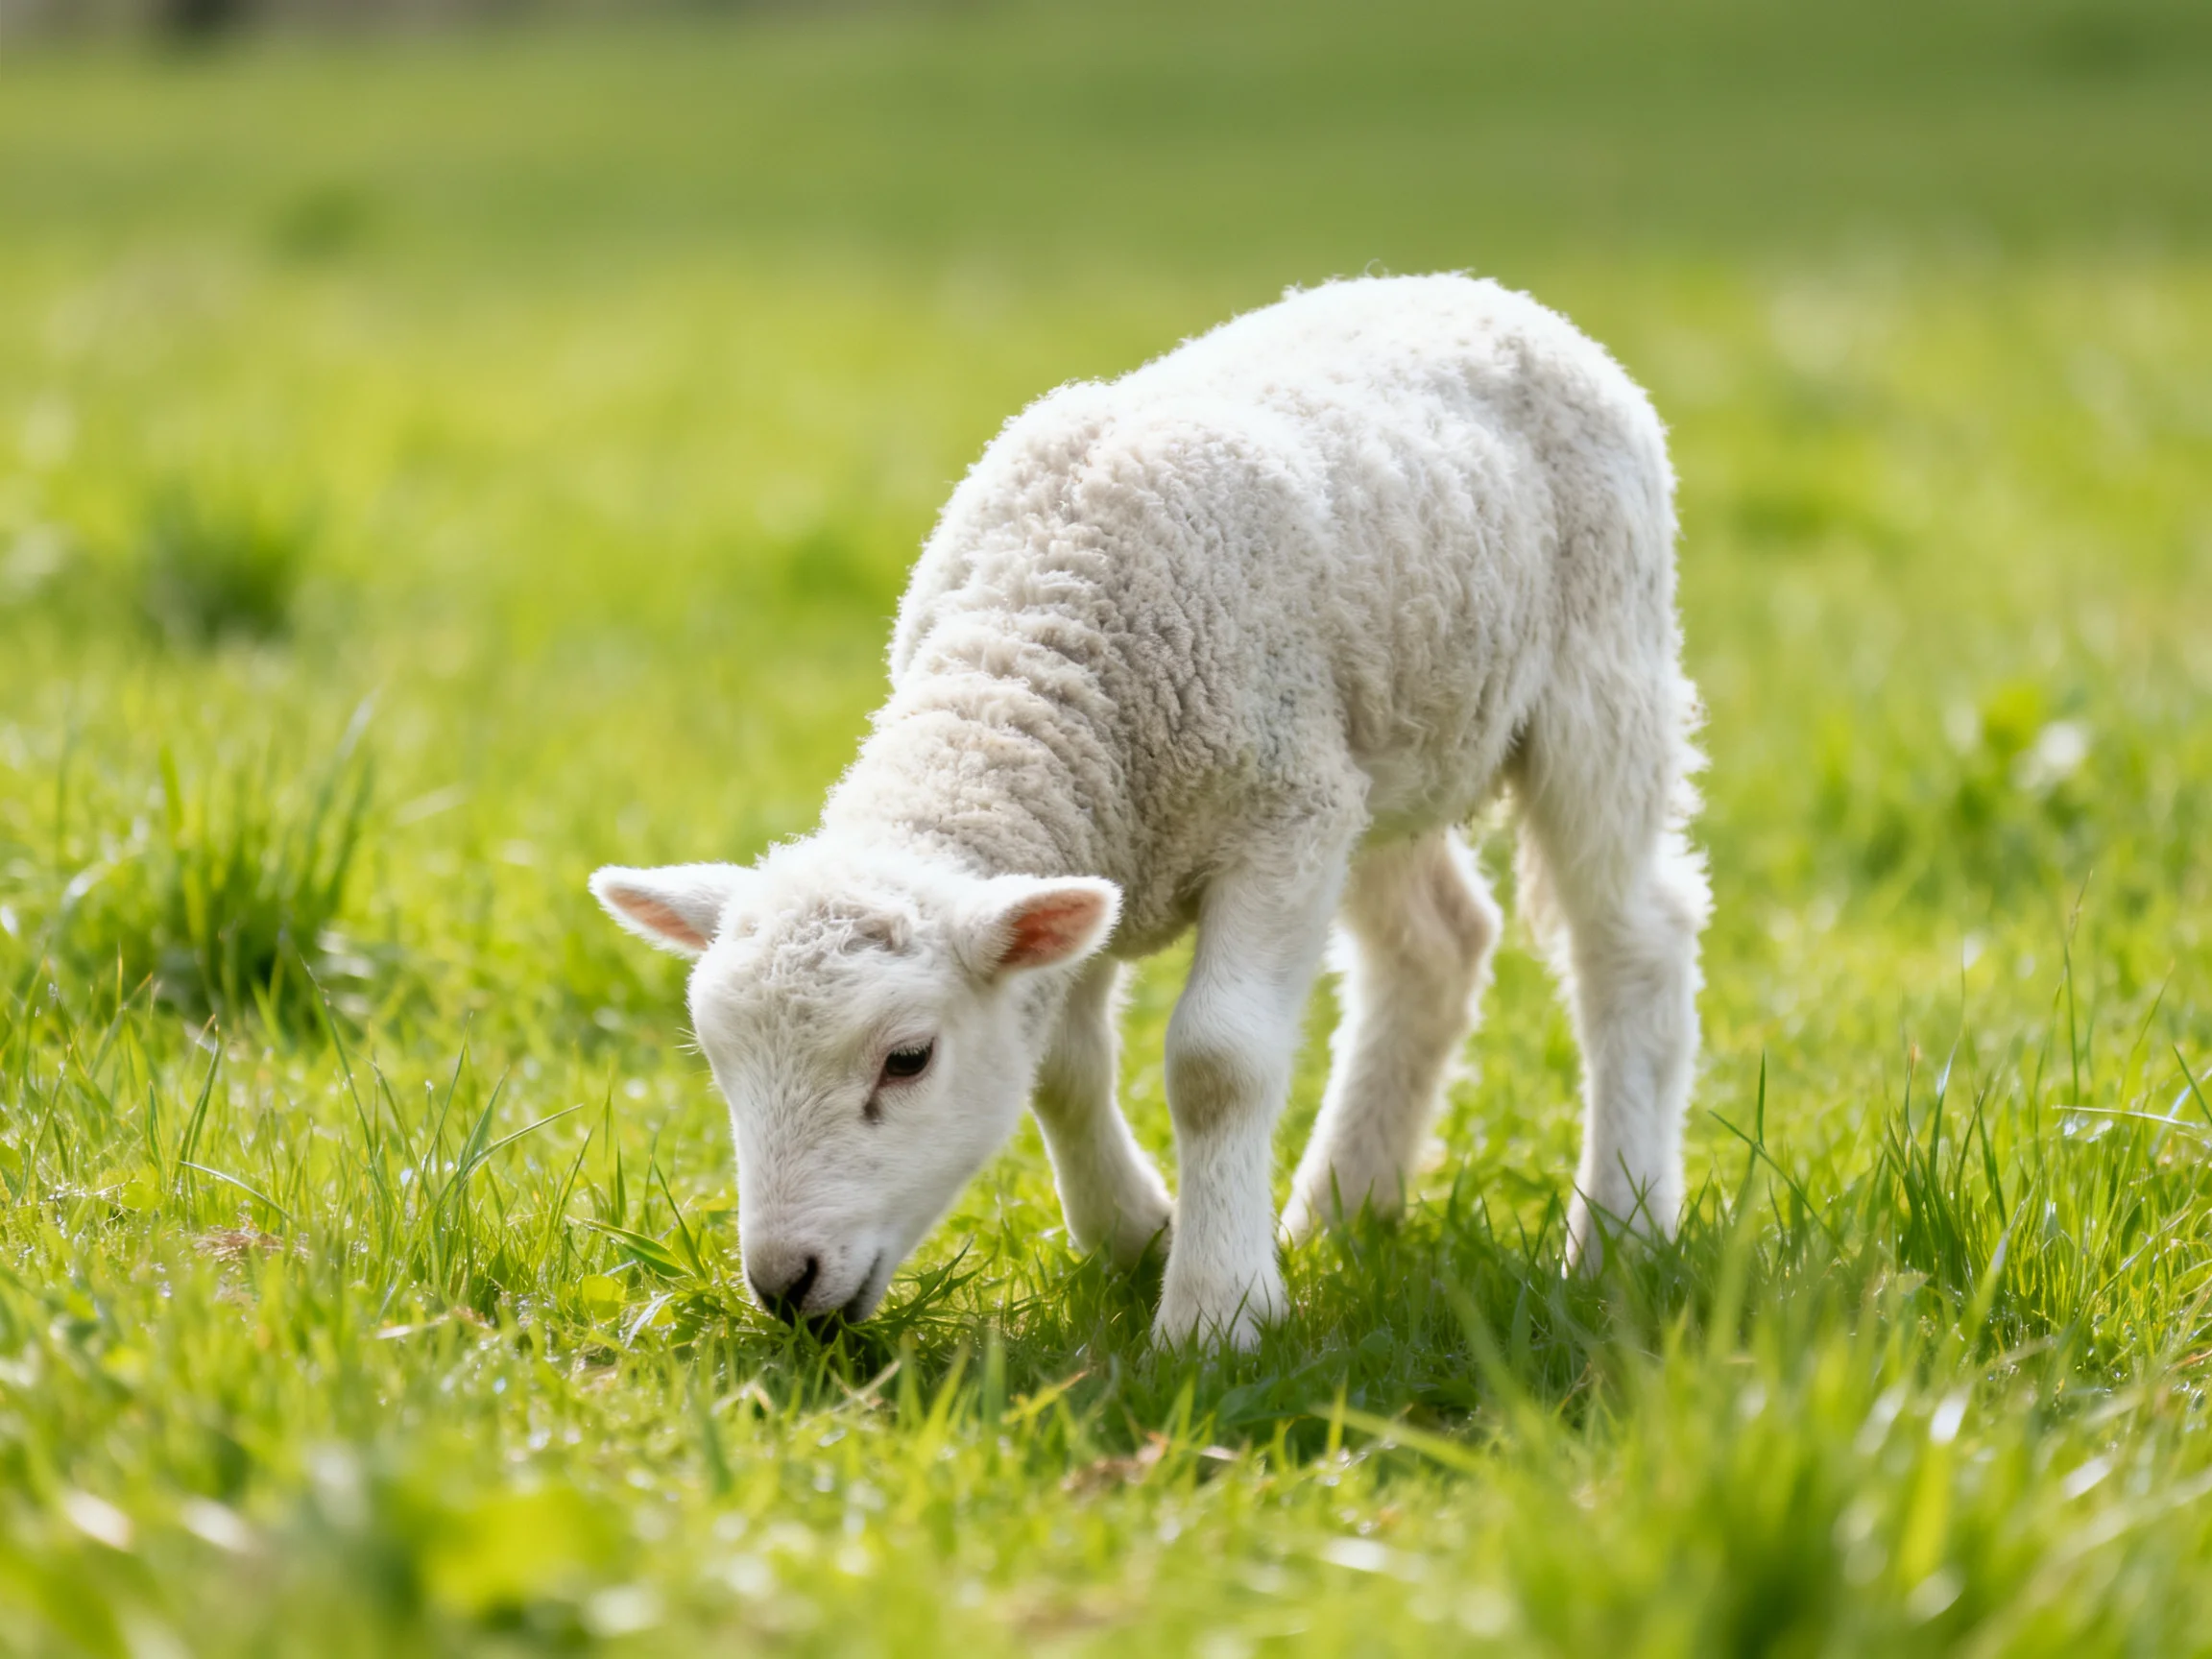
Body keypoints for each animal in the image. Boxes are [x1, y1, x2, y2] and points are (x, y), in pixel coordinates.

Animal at [591, 272, 1709, 1349]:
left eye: (907, 1060)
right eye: (720, 1062)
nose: (785, 1284)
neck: (1033, 661)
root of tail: (1478, 289)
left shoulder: (1278, 817)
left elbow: (1219, 1061)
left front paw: (1215, 1312)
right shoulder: (1099, 845)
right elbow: (1061, 1066)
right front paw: (1136, 1236)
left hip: (1600, 667)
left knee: (1633, 941)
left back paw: (1619, 1233)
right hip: (1383, 747)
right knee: (1436, 945)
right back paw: (1340, 1212)